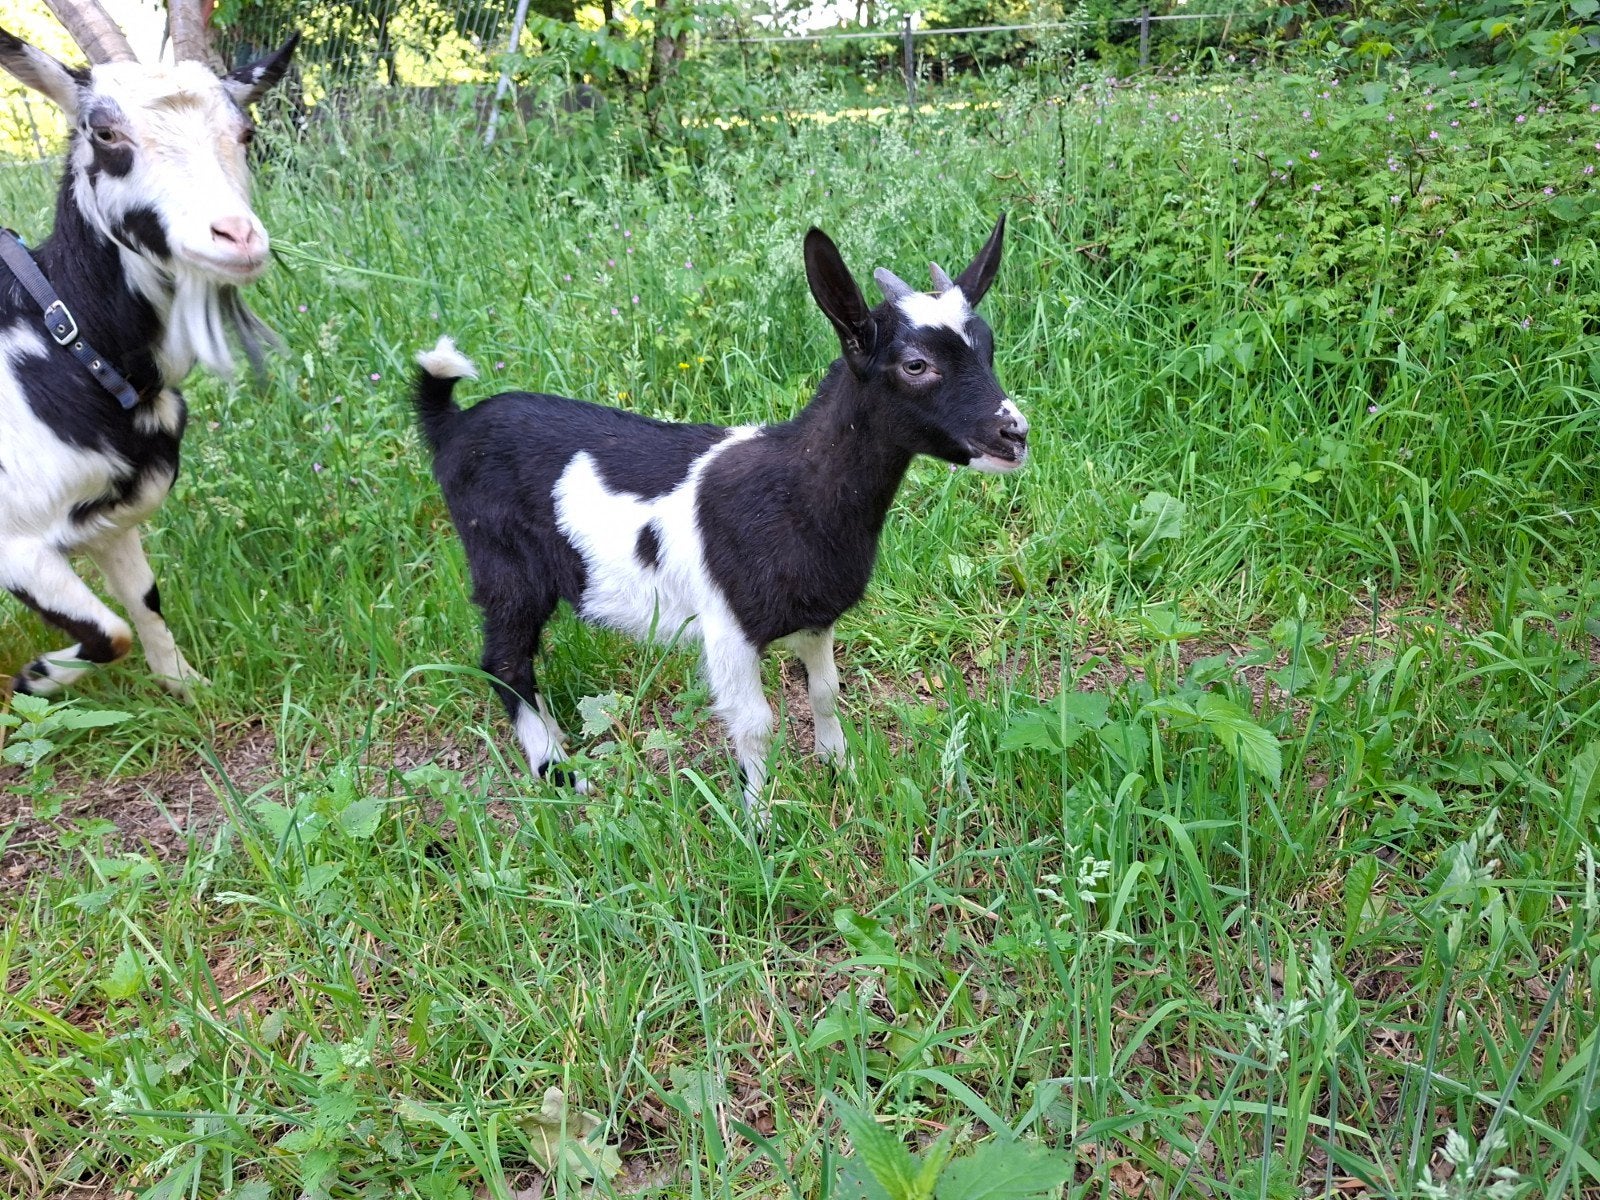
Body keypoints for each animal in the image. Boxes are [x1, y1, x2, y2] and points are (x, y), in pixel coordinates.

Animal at [0, 29, 297, 697]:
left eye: (244, 131)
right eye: (105, 133)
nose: (237, 236)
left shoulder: (110, 518)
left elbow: (143, 604)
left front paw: (188, 688)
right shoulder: (15, 544)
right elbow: (111, 634)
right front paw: (33, 677)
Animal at [412, 218, 1024, 813]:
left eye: (988, 346)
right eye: (916, 365)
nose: (1015, 434)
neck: (791, 489)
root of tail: (453, 427)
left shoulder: (817, 616)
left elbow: (825, 693)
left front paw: (840, 771)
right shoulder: (727, 627)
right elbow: (755, 725)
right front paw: (759, 820)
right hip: (502, 563)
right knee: (504, 662)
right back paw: (558, 772)